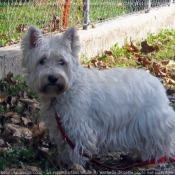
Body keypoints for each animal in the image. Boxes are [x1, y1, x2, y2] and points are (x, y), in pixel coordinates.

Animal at [21, 25, 175, 165]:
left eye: (62, 62)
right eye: (42, 61)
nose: (53, 78)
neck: (64, 91)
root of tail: (157, 82)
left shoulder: (78, 125)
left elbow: (77, 147)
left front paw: (75, 164)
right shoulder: (60, 126)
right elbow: (64, 146)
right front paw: (65, 161)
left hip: (151, 123)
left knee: (159, 142)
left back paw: (154, 158)